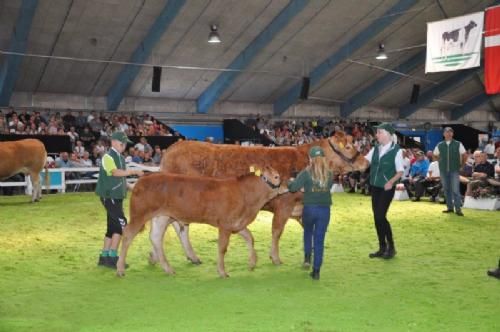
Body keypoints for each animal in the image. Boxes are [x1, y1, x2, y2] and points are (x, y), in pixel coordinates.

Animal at [115, 166, 284, 278]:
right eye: (276, 177)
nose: (286, 186)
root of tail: (143, 178)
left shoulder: (237, 223)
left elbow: (250, 237)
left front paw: (252, 262)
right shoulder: (225, 224)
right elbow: (222, 248)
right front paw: (222, 272)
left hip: (162, 217)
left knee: (156, 238)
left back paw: (168, 269)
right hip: (139, 214)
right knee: (127, 235)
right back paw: (120, 269)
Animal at [158, 132, 370, 264]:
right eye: (349, 146)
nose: (366, 163)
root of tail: (175, 146)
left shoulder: (301, 209)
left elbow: (309, 232)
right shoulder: (284, 205)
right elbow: (277, 231)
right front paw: (275, 258)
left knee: (177, 226)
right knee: (174, 227)